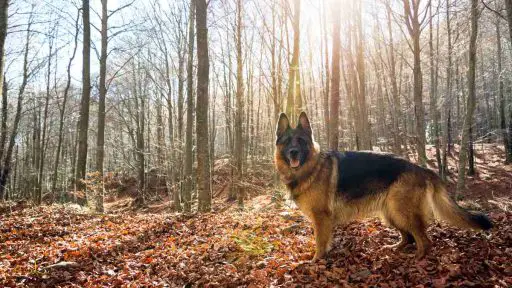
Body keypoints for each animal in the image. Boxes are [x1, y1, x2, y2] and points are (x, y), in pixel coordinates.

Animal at [274, 111, 494, 260]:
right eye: (287, 141)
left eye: (301, 141)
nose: (293, 152)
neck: (311, 167)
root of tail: (421, 168)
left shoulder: (321, 219)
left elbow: (320, 243)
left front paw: (316, 261)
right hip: (390, 214)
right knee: (408, 237)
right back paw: (395, 248)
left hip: (402, 212)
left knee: (424, 240)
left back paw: (417, 259)